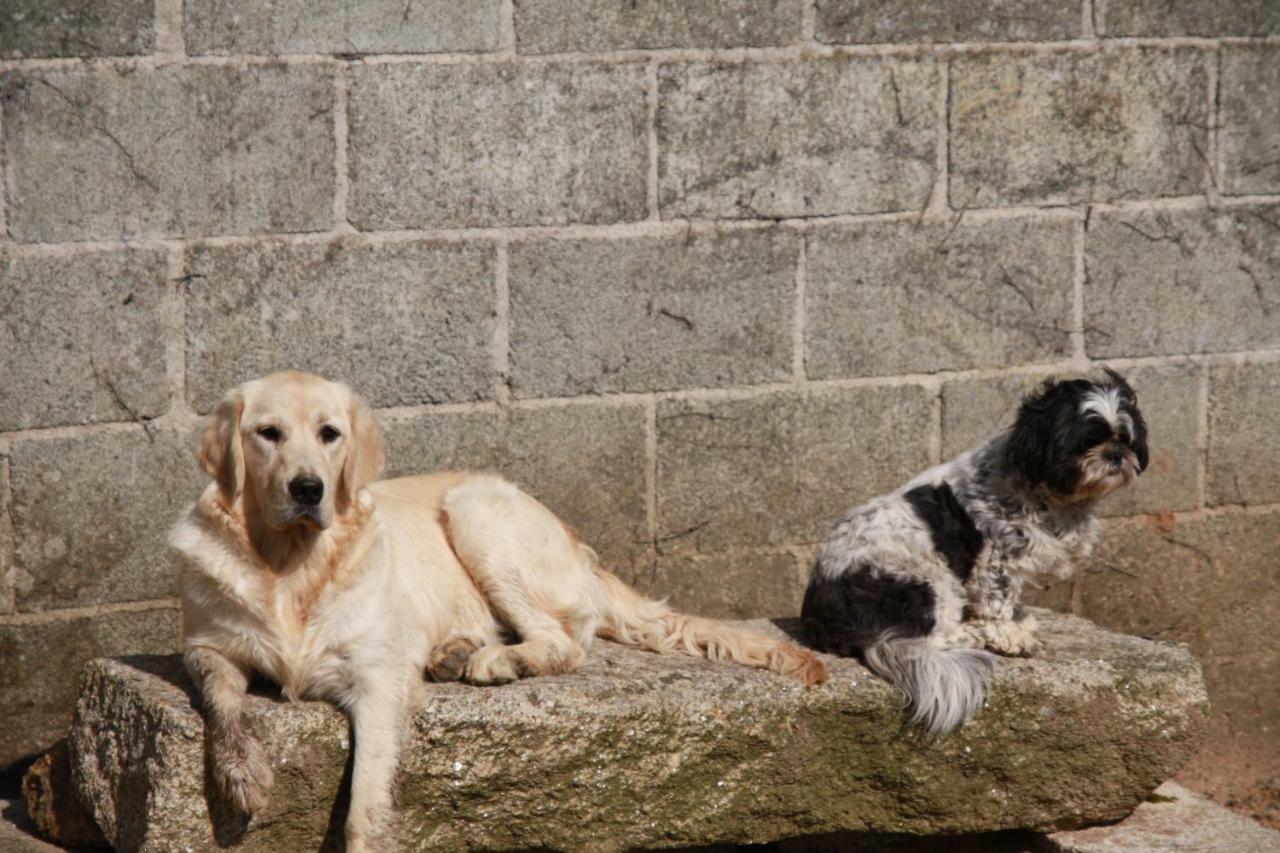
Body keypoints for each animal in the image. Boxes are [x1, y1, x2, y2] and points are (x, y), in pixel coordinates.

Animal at [798, 368, 1152, 732]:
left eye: (1124, 438)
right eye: (1087, 442)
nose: (1115, 455)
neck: (1041, 489)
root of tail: (827, 616)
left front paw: (1019, 621)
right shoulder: (996, 559)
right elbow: (998, 602)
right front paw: (1010, 635)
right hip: (926, 579)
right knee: (932, 635)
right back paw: (971, 635)